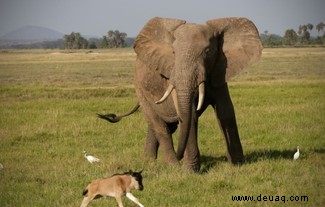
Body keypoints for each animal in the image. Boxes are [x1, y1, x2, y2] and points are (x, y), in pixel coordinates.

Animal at [98, 16, 260, 171]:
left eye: (208, 52)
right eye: (174, 52)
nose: (180, 156)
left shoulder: (219, 70)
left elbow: (225, 111)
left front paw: (239, 164)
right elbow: (191, 117)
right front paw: (190, 171)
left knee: (164, 126)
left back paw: (149, 161)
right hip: (139, 88)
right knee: (160, 127)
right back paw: (173, 165)